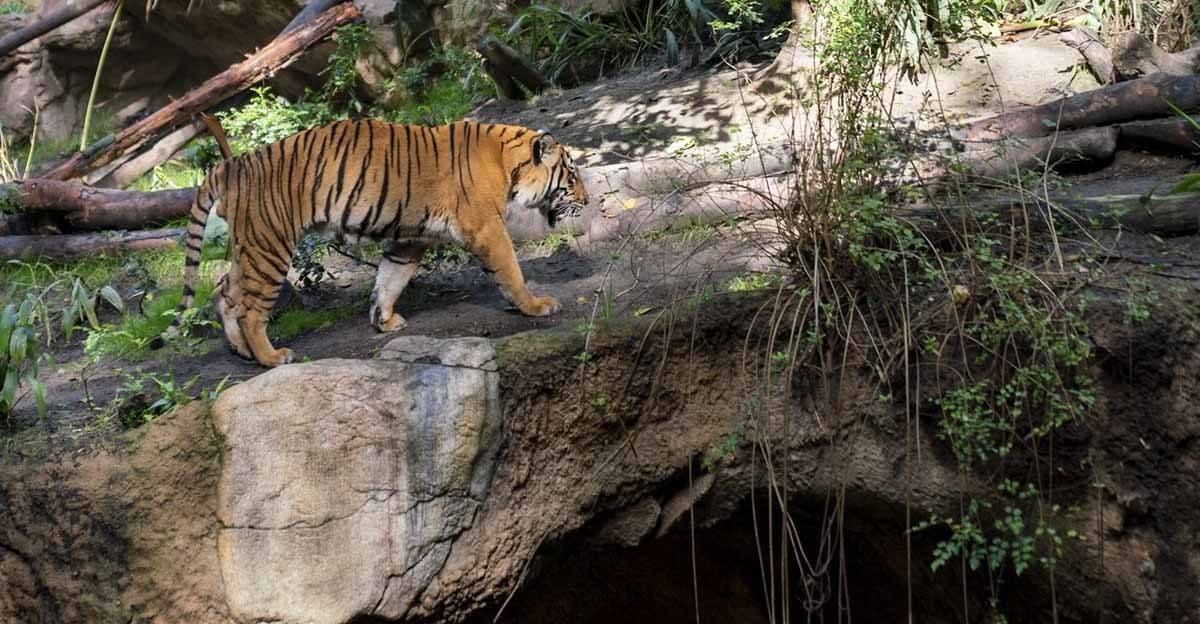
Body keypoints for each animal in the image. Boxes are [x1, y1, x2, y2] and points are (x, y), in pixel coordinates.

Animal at [172, 118, 590, 364]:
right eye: (571, 178)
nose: (587, 201)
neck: (509, 163)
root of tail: (232, 163)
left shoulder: (410, 240)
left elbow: (390, 279)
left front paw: (384, 321)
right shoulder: (487, 228)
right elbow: (512, 271)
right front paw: (536, 306)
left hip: (250, 246)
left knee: (223, 291)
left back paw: (240, 349)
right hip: (270, 245)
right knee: (249, 308)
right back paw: (271, 357)